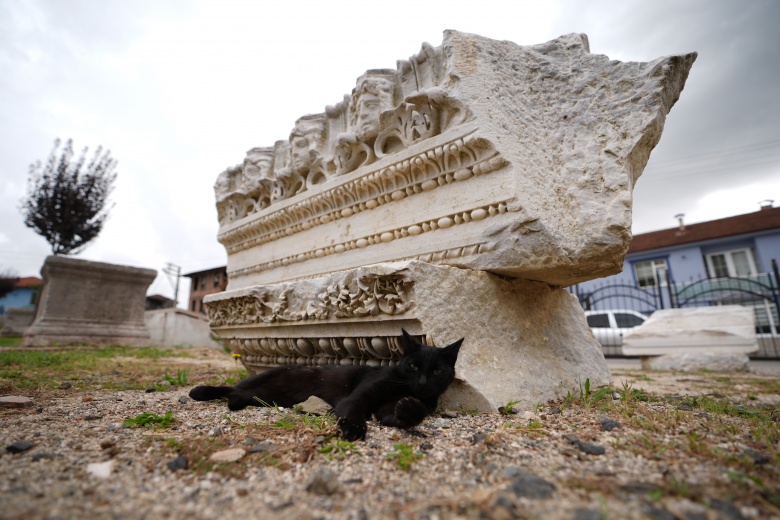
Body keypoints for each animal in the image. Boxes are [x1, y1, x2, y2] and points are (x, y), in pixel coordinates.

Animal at [187, 330, 464, 438]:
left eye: (437, 371)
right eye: (414, 367)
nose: (422, 382)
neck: (402, 387)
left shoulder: (388, 409)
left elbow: (401, 414)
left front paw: (409, 408)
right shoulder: (361, 395)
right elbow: (354, 407)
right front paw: (353, 428)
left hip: (265, 396)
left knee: (241, 393)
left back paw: (234, 403)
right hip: (263, 380)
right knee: (232, 387)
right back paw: (199, 391)